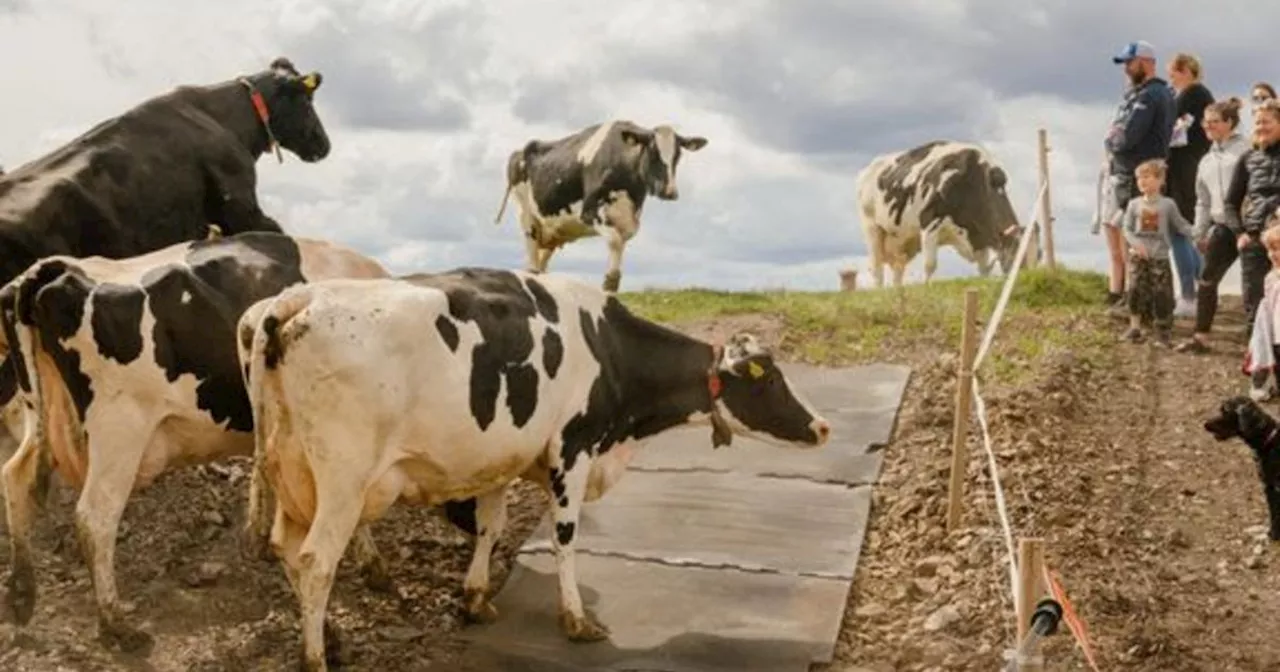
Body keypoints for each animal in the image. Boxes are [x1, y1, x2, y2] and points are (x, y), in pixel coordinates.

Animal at [0, 231, 389, 655]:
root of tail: (54, 266)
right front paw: (369, 567)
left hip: (40, 412)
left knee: (15, 478)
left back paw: (22, 596)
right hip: (119, 430)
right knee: (95, 517)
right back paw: (116, 624)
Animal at [236, 267, 829, 670]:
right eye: (770, 379)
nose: (823, 427)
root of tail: (298, 296)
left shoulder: (500, 457)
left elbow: (490, 526)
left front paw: (476, 599)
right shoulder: (573, 447)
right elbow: (566, 538)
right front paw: (576, 620)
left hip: (292, 472)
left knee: (286, 549)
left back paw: (330, 638)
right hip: (342, 477)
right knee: (316, 560)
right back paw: (316, 657)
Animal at [488, 119, 711, 290]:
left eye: (678, 155)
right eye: (653, 152)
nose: (670, 192)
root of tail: (520, 151)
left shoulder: (629, 223)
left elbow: (617, 262)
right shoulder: (590, 212)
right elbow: (614, 242)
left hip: (551, 228)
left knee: (542, 267)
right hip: (527, 216)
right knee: (532, 264)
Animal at [855, 140, 1034, 286]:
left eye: (1037, 254)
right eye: (1015, 255)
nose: (1027, 277)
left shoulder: (979, 234)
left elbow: (983, 267)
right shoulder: (929, 222)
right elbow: (930, 264)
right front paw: (927, 287)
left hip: (902, 241)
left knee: (898, 270)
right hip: (872, 228)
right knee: (877, 267)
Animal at [1198, 394, 1280, 540]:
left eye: (1225, 411)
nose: (1205, 424)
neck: (1268, 441)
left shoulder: (1272, 488)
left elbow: (1274, 516)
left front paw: (1273, 534)